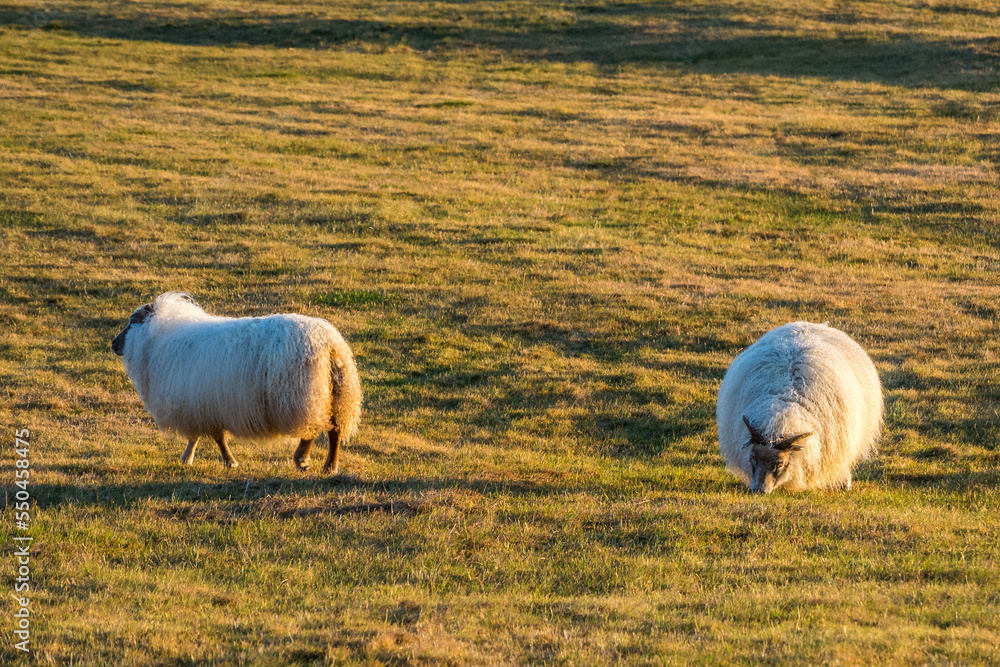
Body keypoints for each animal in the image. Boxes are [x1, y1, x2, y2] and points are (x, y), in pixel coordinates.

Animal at [111, 294, 362, 474]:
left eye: (132, 322)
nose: (113, 343)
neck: (157, 339)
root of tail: (330, 344)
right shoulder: (200, 404)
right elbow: (201, 435)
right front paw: (188, 458)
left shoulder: (200, 403)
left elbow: (215, 437)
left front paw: (228, 461)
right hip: (336, 393)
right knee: (335, 431)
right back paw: (330, 467)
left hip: (302, 395)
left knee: (313, 428)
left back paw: (302, 458)